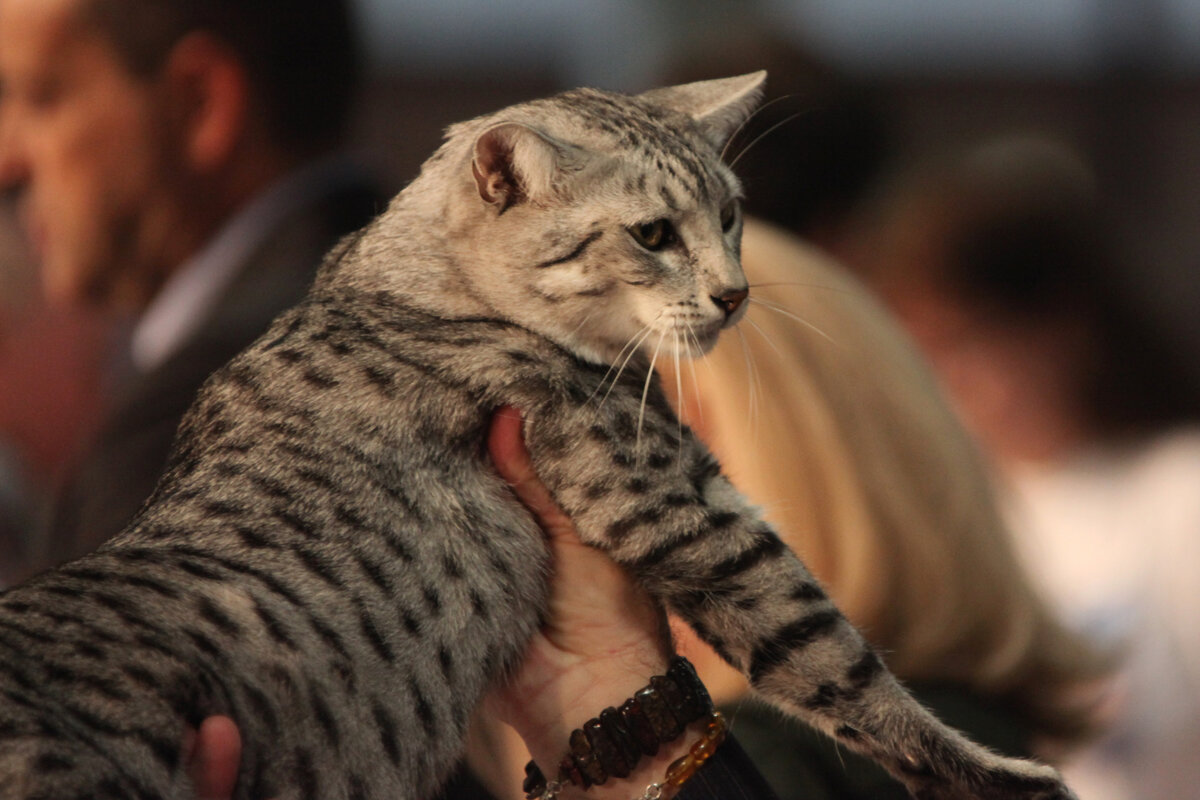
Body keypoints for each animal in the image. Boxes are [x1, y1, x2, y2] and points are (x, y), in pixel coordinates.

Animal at [0, 73, 1075, 800]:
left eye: (732, 215)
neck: (403, 283)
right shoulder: (681, 502)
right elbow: (835, 659)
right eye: (653, 235)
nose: (736, 294)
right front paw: (997, 773)